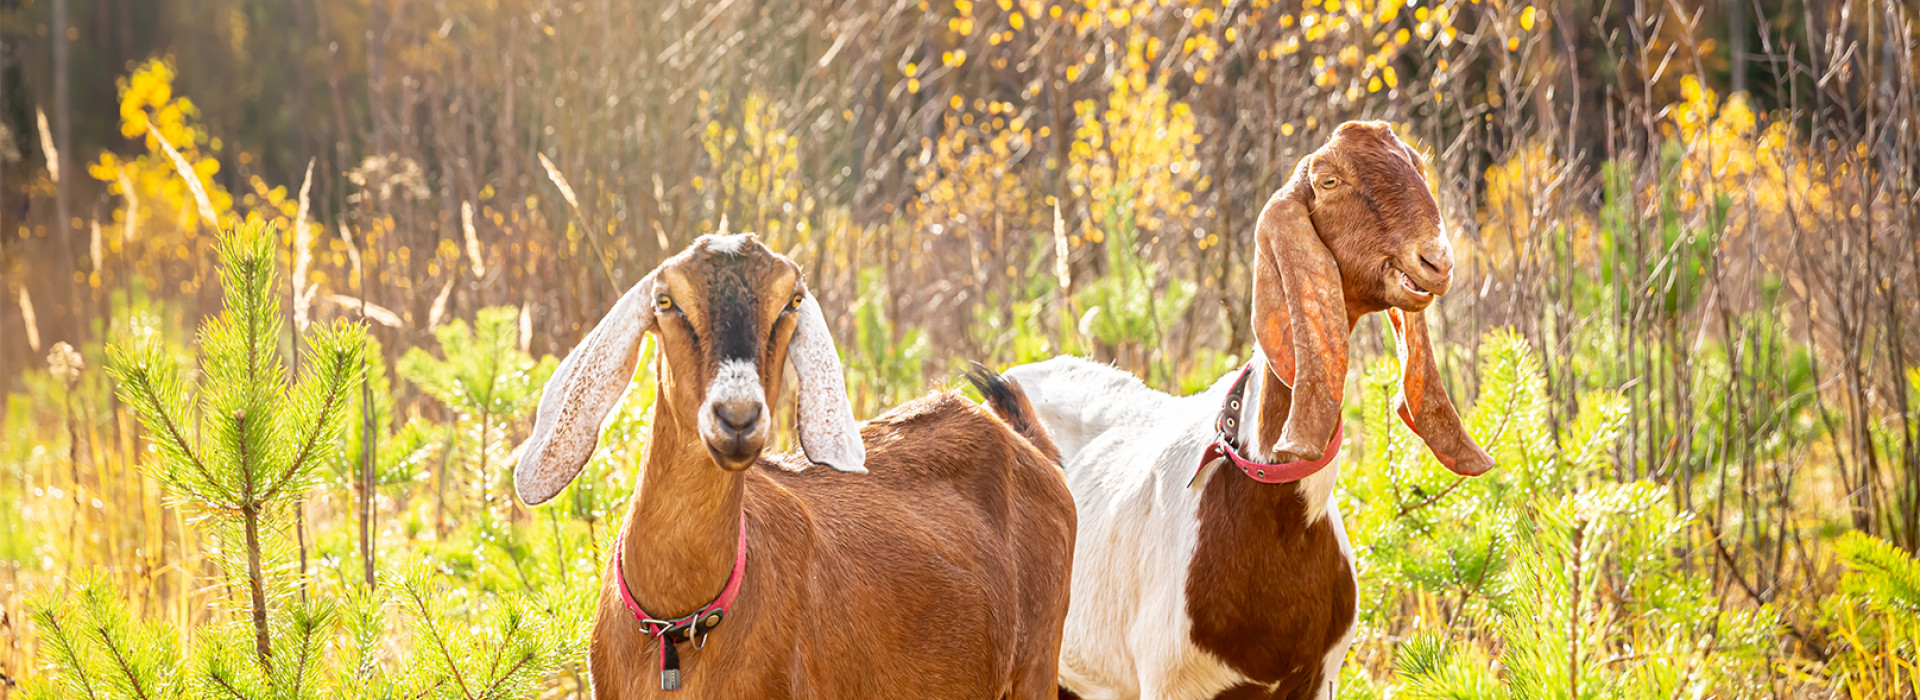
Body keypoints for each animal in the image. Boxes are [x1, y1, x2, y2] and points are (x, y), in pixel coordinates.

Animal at [518, 234, 1075, 698]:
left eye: (792, 301)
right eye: (665, 300)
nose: (737, 416)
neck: (676, 623)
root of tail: (1023, 441)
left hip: (1037, 668)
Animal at [1006, 122, 1497, 698]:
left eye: (1418, 164)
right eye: (1329, 180)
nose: (1436, 261)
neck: (1273, 508)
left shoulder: (1316, 680)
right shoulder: (1172, 682)